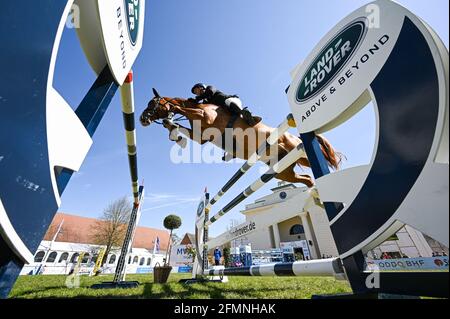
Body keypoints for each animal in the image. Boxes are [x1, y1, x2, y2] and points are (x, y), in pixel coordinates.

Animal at [140, 88, 342, 188]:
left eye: (152, 102)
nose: (142, 119)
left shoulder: (207, 117)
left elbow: (180, 108)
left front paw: (171, 123)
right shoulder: (201, 137)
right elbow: (180, 126)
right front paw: (174, 131)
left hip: (300, 152)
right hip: (282, 170)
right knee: (306, 179)